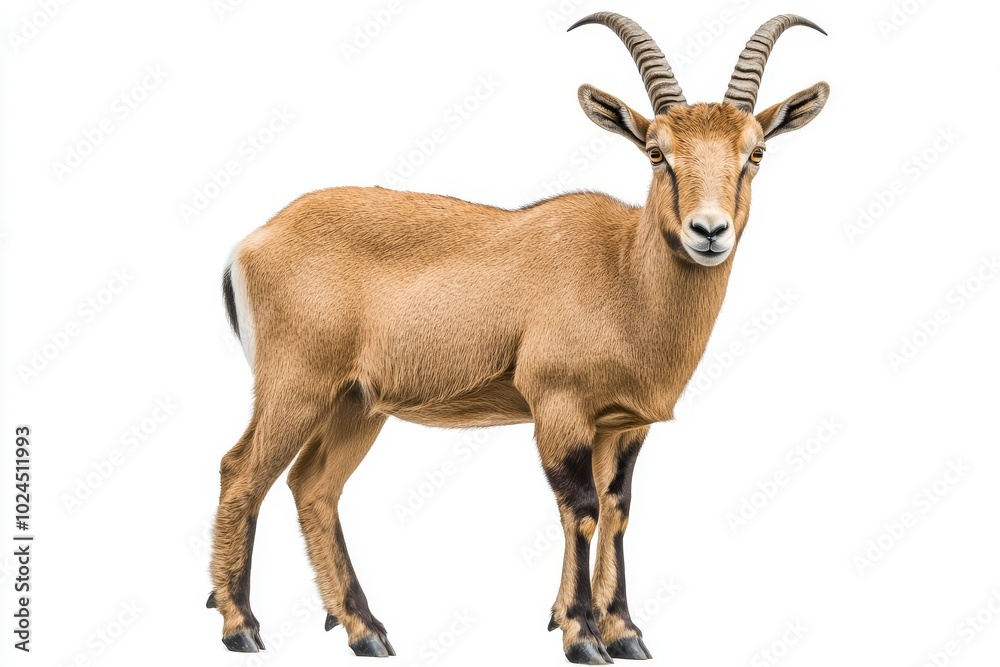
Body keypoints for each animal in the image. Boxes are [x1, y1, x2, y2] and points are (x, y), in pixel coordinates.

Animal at [207, 12, 829, 664]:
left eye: (755, 150)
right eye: (657, 152)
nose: (708, 231)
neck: (622, 272)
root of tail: (254, 240)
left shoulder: (621, 425)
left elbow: (617, 509)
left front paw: (623, 631)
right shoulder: (558, 407)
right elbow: (580, 509)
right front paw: (582, 635)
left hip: (356, 404)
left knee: (314, 487)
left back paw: (366, 630)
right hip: (296, 386)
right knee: (241, 470)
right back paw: (242, 627)